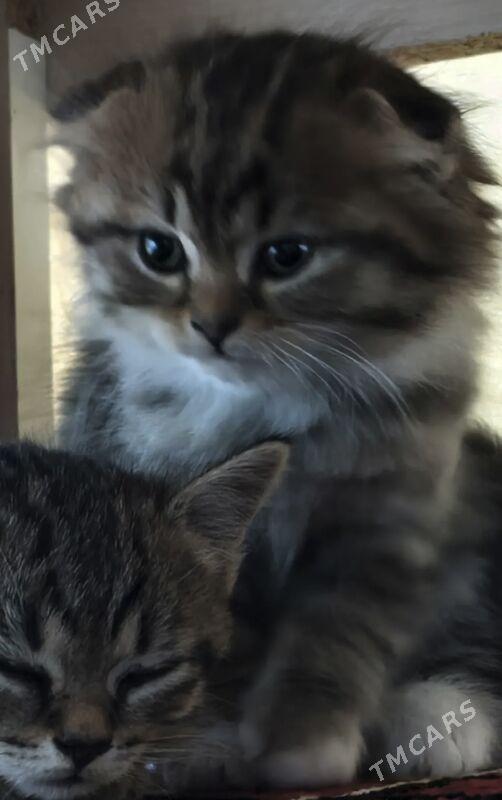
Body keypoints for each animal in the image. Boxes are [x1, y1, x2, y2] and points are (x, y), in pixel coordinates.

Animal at [53, 31, 499, 785]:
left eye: (287, 255)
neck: (272, 407)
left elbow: (335, 641)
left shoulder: (385, 524)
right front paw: (214, 745)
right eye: (158, 250)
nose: (210, 326)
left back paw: (440, 714)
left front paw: (304, 745)